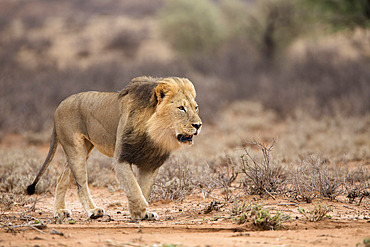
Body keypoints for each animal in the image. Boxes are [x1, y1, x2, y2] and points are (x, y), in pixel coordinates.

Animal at [26, 76, 202, 221]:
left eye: (196, 107)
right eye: (181, 108)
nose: (198, 125)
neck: (155, 133)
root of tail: (59, 106)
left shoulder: (150, 164)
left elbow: (143, 189)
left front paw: (141, 213)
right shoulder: (121, 158)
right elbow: (133, 187)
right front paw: (141, 212)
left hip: (83, 149)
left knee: (61, 179)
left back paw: (60, 211)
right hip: (75, 148)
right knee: (81, 184)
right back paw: (93, 211)